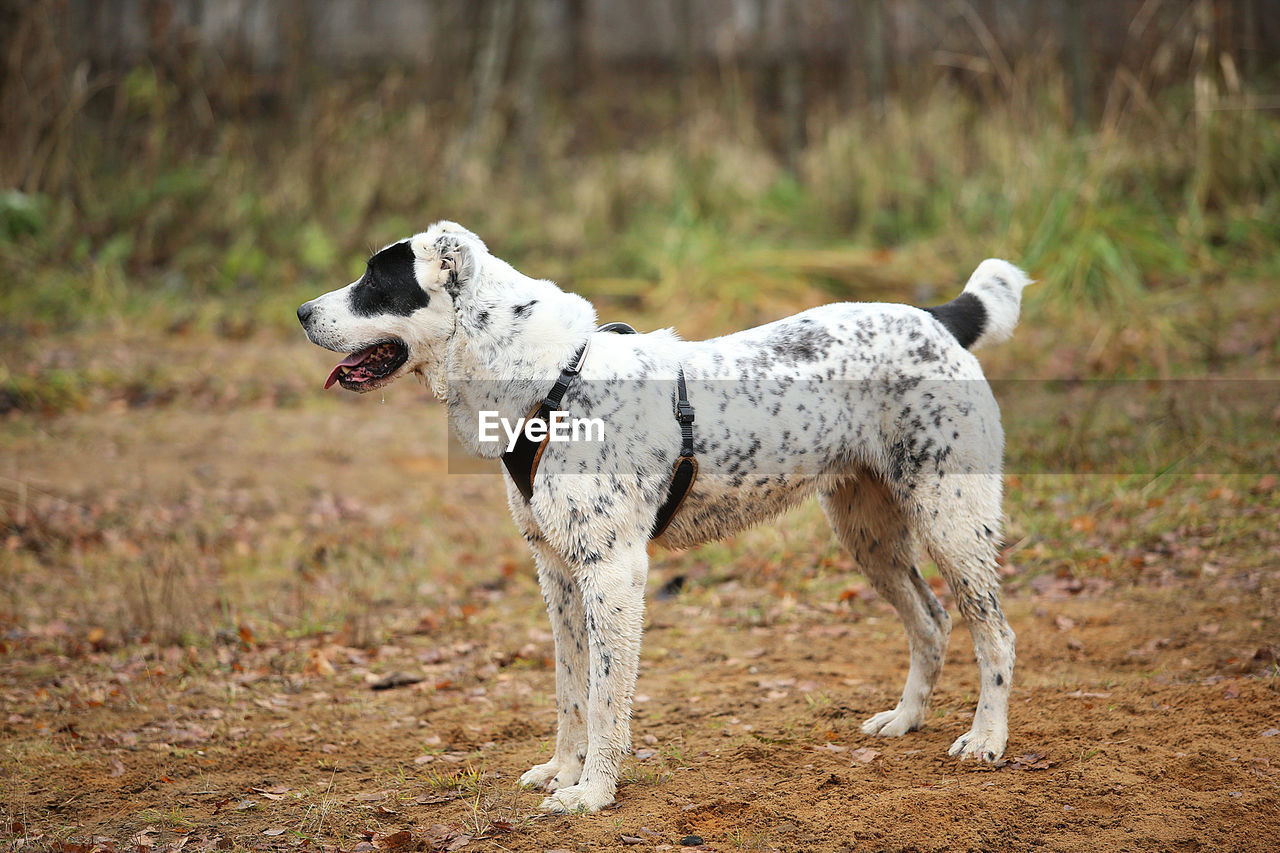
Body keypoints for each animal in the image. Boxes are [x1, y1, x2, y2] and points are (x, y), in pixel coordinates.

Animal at [296, 219, 1029, 809]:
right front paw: (562, 771)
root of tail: (938, 318)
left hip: (951, 520)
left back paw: (986, 739)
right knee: (931, 621)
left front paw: (591, 793)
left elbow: (605, 700)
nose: (300, 312)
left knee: (994, 633)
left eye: (376, 281)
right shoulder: (557, 573)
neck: (553, 382)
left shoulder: (614, 573)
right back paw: (904, 720)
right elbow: (570, 690)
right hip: (867, 534)